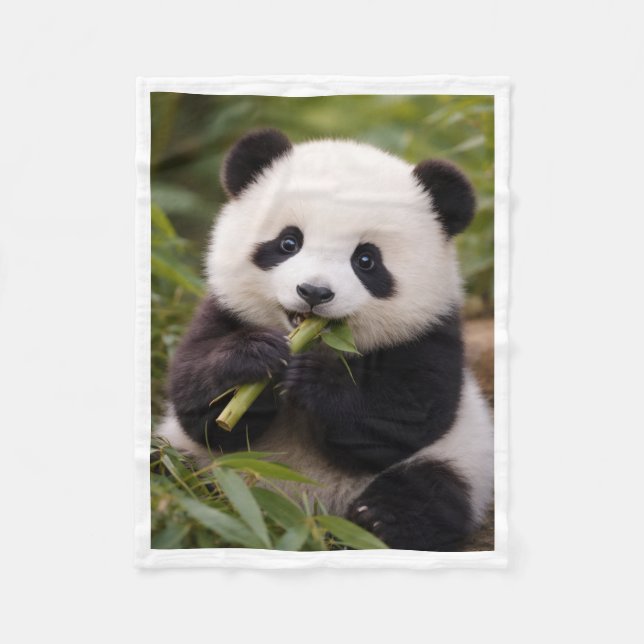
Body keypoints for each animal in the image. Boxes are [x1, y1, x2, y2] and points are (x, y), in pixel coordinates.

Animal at [156, 128, 494, 551]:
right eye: (289, 243)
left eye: (366, 260)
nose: (314, 292)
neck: (319, 342)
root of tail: (309, 514)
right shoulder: (223, 311)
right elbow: (198, 404)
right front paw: (255, 358)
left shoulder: (430, 335)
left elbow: (403, 414)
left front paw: (315, 379)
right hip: (204, 465)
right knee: (169, 471)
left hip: (460, 457)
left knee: (432, 490)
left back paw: (379, 520)